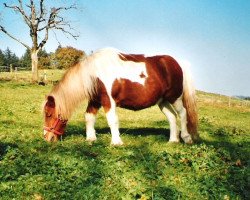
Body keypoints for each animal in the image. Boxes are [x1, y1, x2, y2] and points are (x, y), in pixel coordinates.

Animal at [44, 48, 198, 145]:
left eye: (49, 114)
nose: (47, 138)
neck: (95, 72)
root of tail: (177, 63)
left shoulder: (108, 101)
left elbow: (112, 120)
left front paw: (116, 142)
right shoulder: (95, 100)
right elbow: (89, 117)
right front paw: (91, 139)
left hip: (175, 97)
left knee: (183, 113)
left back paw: (186, 138)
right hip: (163, 101)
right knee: (172, 117)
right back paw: (173, 140)